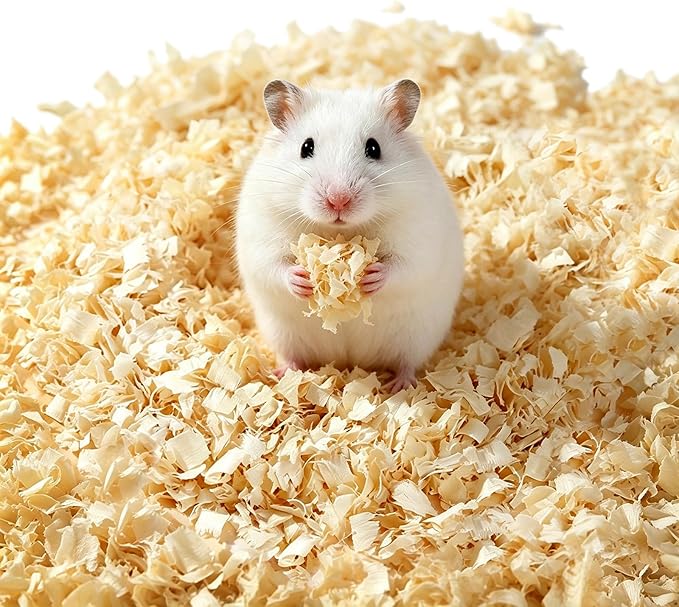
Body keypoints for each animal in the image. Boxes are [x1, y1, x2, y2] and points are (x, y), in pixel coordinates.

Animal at [236, 78, 464, 392]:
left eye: (373, 147)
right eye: (306, 147)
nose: (338, 200)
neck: (340, 232)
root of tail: (350, 361)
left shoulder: (419, 238)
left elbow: (404, 268)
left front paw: (370, 276)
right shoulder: (262, 235)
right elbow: (273, 266)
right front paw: (303, 280)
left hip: (418, 336)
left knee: (407, 362)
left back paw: (399, 386)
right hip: (281, 333)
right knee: (292, 356)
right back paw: (282, 375)